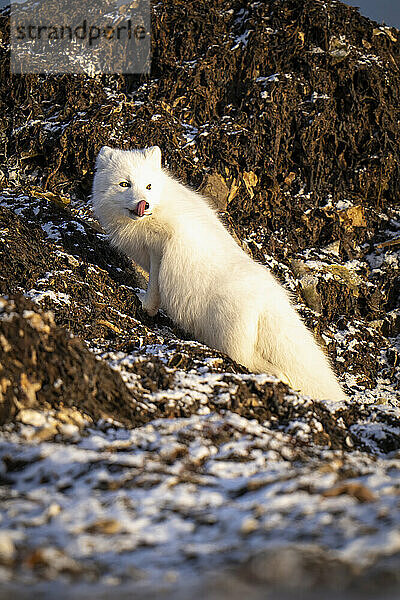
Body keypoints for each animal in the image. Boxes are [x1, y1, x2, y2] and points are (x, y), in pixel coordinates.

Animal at [91, 144, 346, 404]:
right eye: (125, 184)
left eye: (149, 186)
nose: (145, 203)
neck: (159, 205)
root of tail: (270, 298)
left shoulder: (158, 251)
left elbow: (154, 286)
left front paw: (145, 305)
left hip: (229, 340)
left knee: (262, 366)